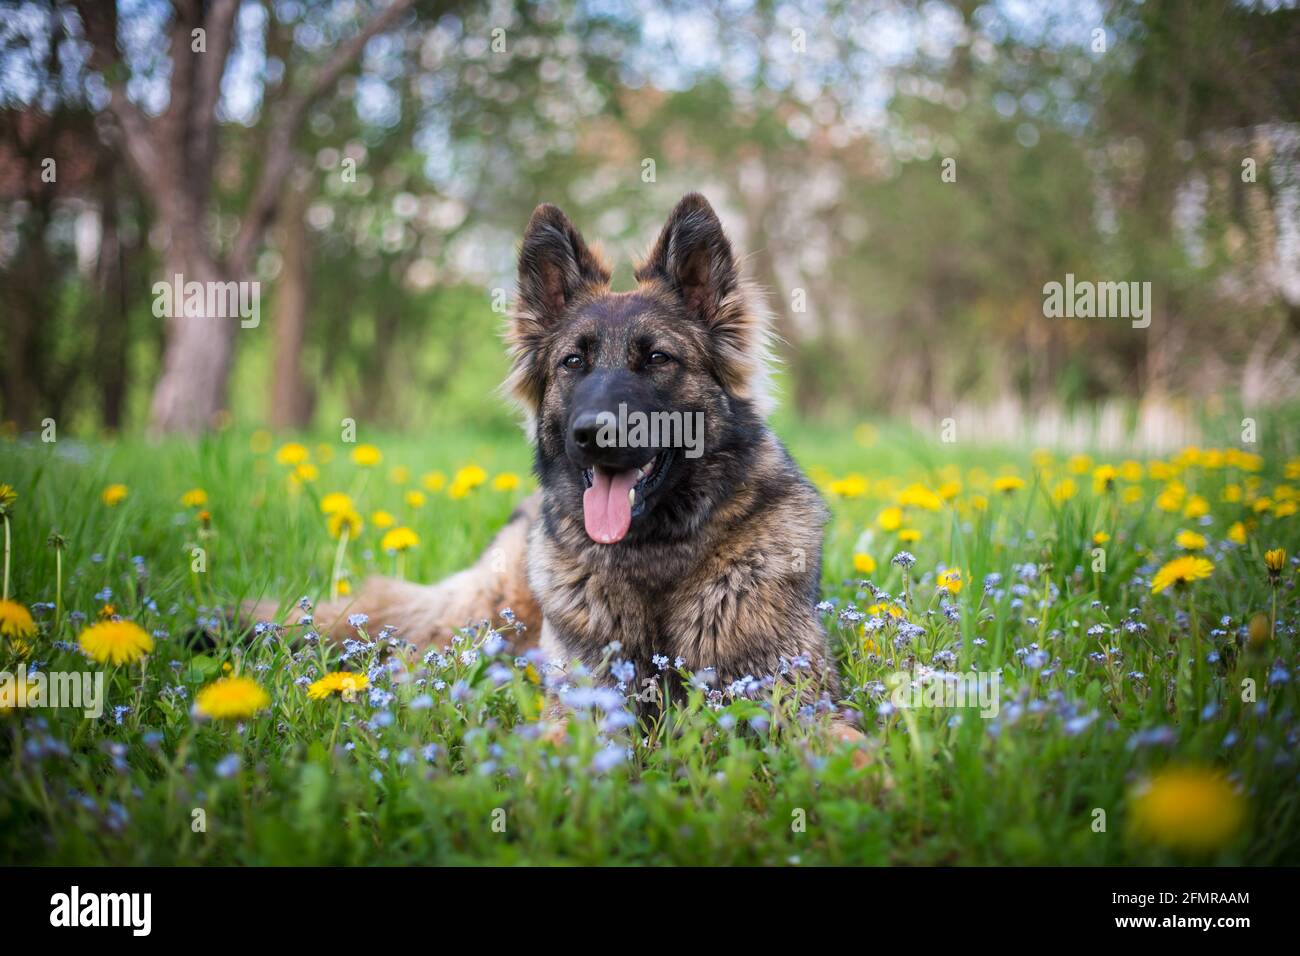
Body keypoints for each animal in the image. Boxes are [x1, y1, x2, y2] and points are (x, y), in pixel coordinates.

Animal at [252, 192, 863, 749]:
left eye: (658, 359)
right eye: (573, 362)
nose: (592, 434)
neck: (656, 558)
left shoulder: (802, 697)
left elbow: (851, 752)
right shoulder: (582, 702)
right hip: (479, 615)